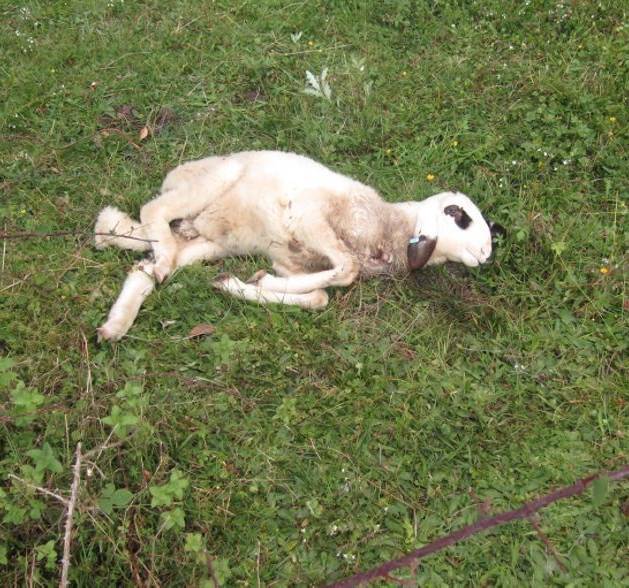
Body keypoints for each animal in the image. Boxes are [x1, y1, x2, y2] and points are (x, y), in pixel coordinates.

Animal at [93, 150, 502, 340]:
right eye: (459, 214)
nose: (485, 256)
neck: (388, 230)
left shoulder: (292, 260)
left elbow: (318, 297)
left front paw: (242, 283)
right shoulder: (309, 217)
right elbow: (347, 270)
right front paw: (262, 282)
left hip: (212, 243)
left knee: (145, 265)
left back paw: (115, 323)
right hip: (213, 182)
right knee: (153, 210)